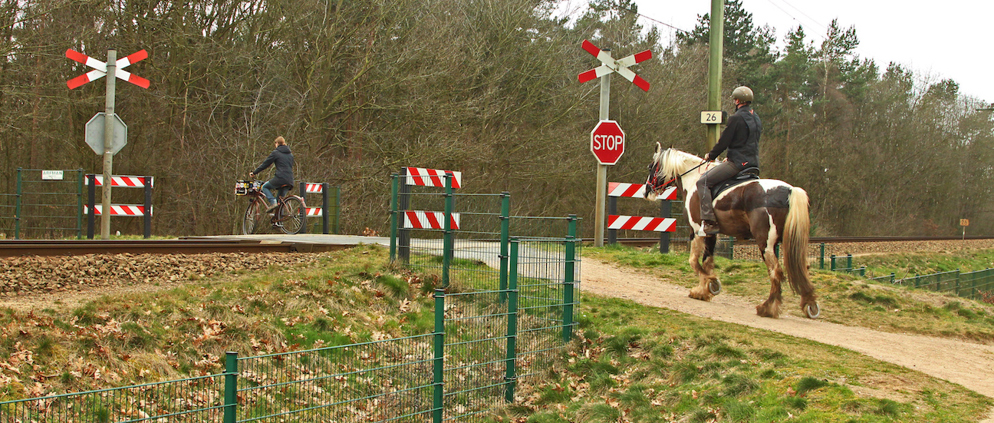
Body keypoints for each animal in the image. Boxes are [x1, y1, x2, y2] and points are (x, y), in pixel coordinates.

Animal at [640, 145, 816, 318]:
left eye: (650, 166)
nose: (646, 191)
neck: (693, 179)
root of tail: (790, 190)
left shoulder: (696, 231)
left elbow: (694, 261)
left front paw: (712, 284)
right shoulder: (710, 233)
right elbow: (707, 261)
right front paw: (703, 291)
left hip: (765, 244)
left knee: (775, 273)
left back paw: (768, 308)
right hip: (790, 243)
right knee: (802, 268)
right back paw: (809, 304)